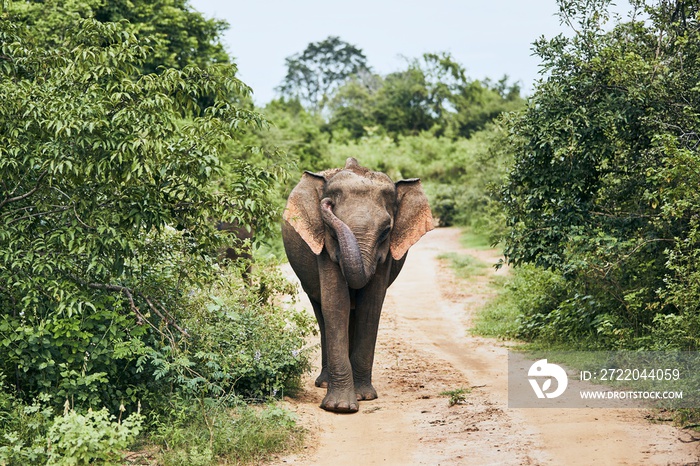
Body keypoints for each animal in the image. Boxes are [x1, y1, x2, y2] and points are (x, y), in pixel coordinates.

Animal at [280, 157, 432, 412]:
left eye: (386, 231)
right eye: (332, 230)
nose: (327, 202)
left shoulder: (385, 257)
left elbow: (370, 306)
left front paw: (364, 397)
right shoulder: (324, 247)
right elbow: (336, 303)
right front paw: (340, 407)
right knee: (321, 312)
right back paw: (324, 383)